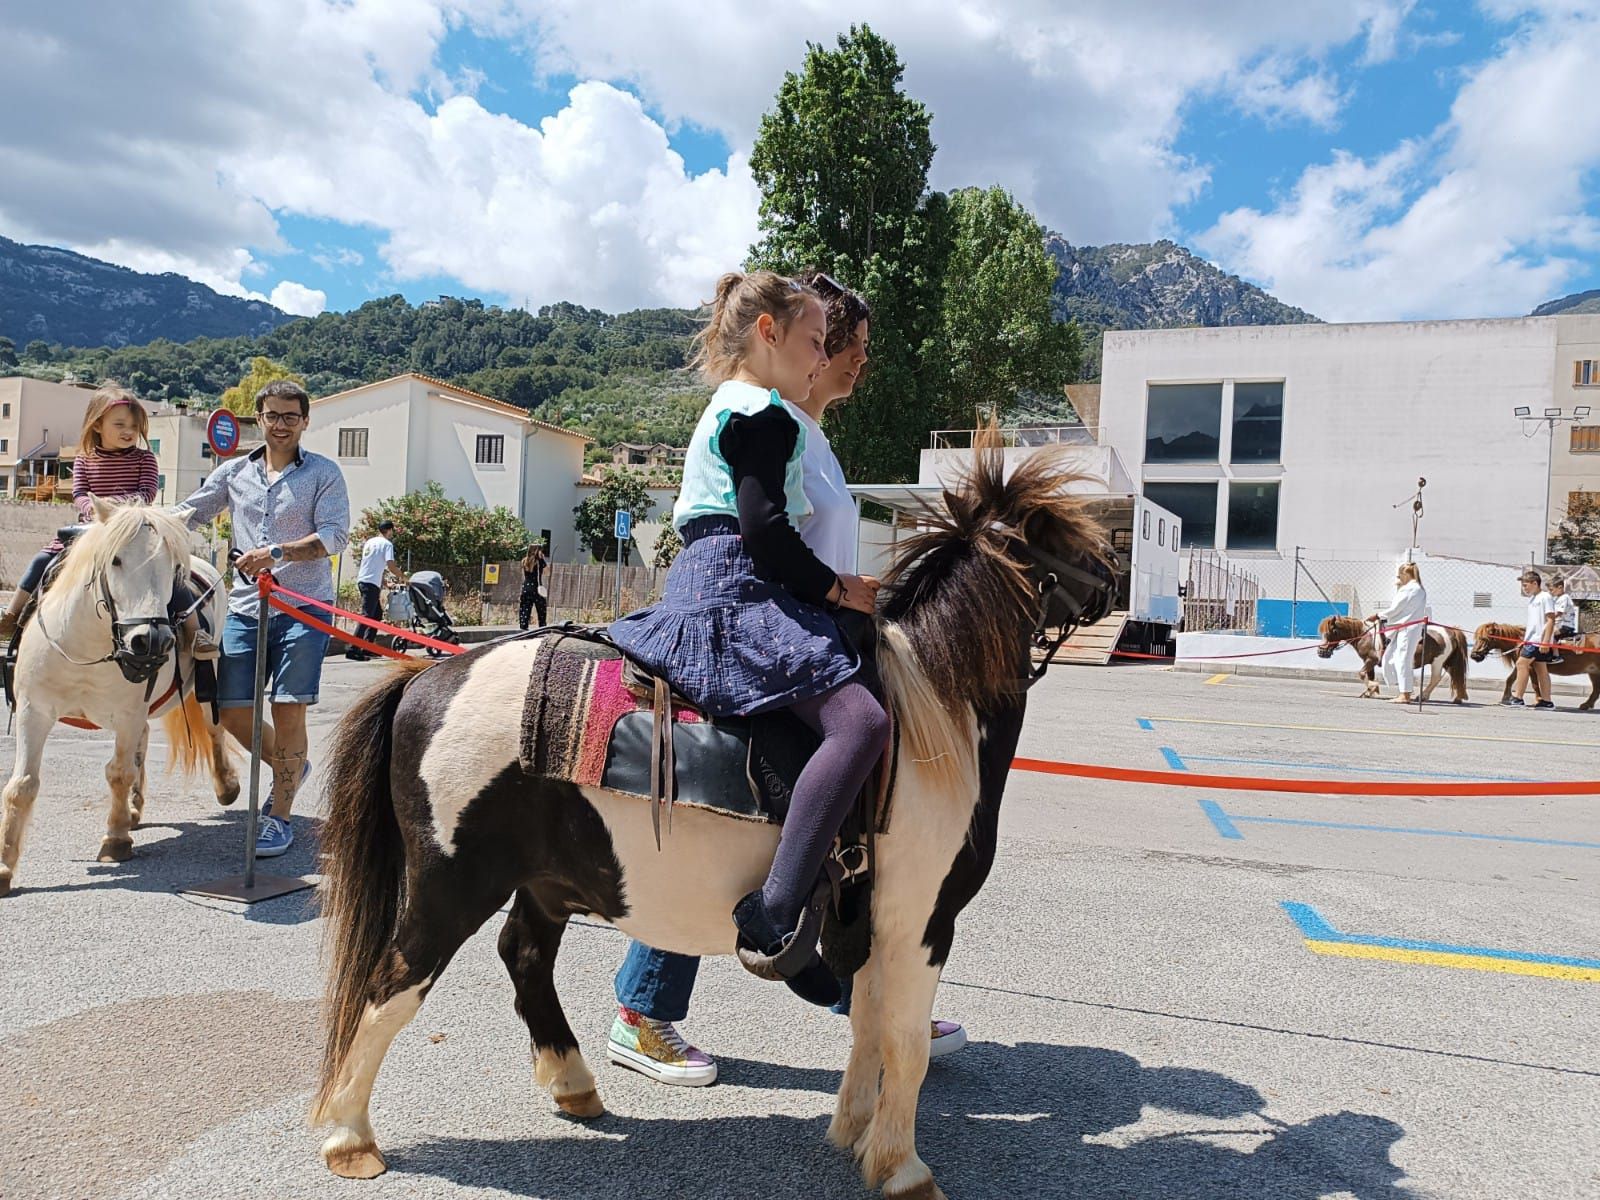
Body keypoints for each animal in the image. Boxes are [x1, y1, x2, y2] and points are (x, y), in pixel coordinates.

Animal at [0, 499, 236, 902]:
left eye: (173, 567)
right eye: (116, 560)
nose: (152, 641)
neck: (85, 646)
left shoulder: (127, 713)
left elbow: (118, 773)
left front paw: (115, 840)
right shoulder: (35, 710)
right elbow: (22, 785)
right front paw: (4, 868)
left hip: (205, 680)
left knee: (212, 728)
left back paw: (225, 786)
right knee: (144, 742)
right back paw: (134, 810)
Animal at [308, 438, 1113, 1200]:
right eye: (1065, 533)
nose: (1110, 577)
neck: (934, 717)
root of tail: (426, 677)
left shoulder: (872, 923)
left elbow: (867, 1027)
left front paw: (853, 1136)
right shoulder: (920, 921)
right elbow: (905, 1044)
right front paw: (903, 1167)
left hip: (547, 881)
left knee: (524, 957)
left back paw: (573, 1085)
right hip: (452, 885)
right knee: (391, 983)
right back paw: (350, 1139)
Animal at [1318, 614, 1465, 700]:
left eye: (1331, 631)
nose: (1321, 652)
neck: (1366, 635)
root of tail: (1450, 630)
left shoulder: (1371, 660)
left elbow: (1361, 674)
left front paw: (1373, 687)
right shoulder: (1369, 662)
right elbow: (1369, 675)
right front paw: (1369, 691)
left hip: (1437, 662)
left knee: (1435, 678)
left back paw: (1422, 696)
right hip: (1446, 662)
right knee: (1453, 676)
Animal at [1465, 624, 1600, 710]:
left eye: (1484, 638)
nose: (1474, 655)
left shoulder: (1530, 667)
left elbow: (1535, 684)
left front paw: (1539, 700)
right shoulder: (1521, 664)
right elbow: (1510, 680)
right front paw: (1505, 699)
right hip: (1593, 672)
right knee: (1596, 690)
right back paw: (1586, 705)